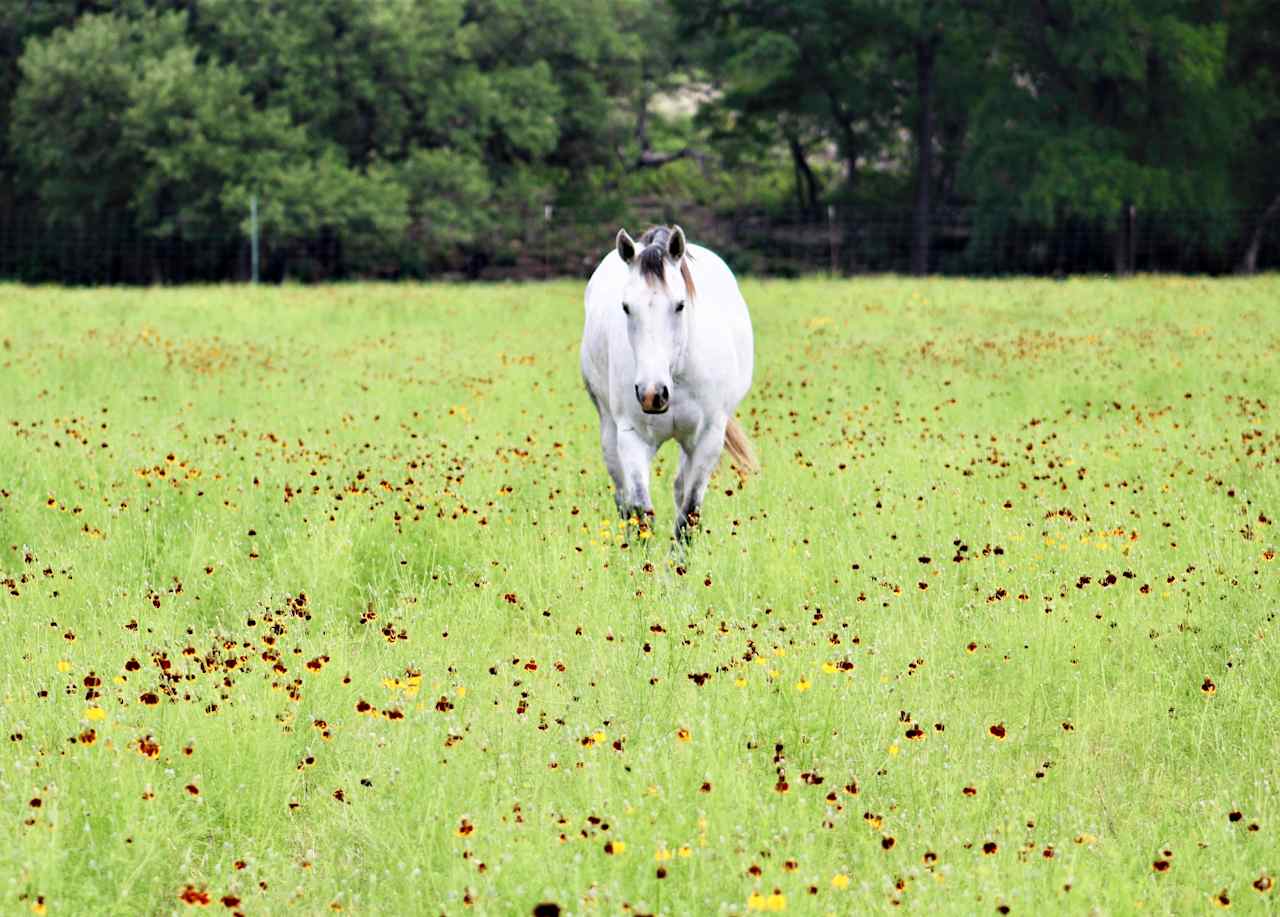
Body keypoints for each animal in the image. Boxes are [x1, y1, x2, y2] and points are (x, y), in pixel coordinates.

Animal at [583, 225, 752, 540]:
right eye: (626, 307)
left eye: (680, 305)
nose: (652, 394)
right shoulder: (632, 436)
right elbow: (641, 512)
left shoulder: (708, 438)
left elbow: (689, 514)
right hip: (610, 432)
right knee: (623, 498)